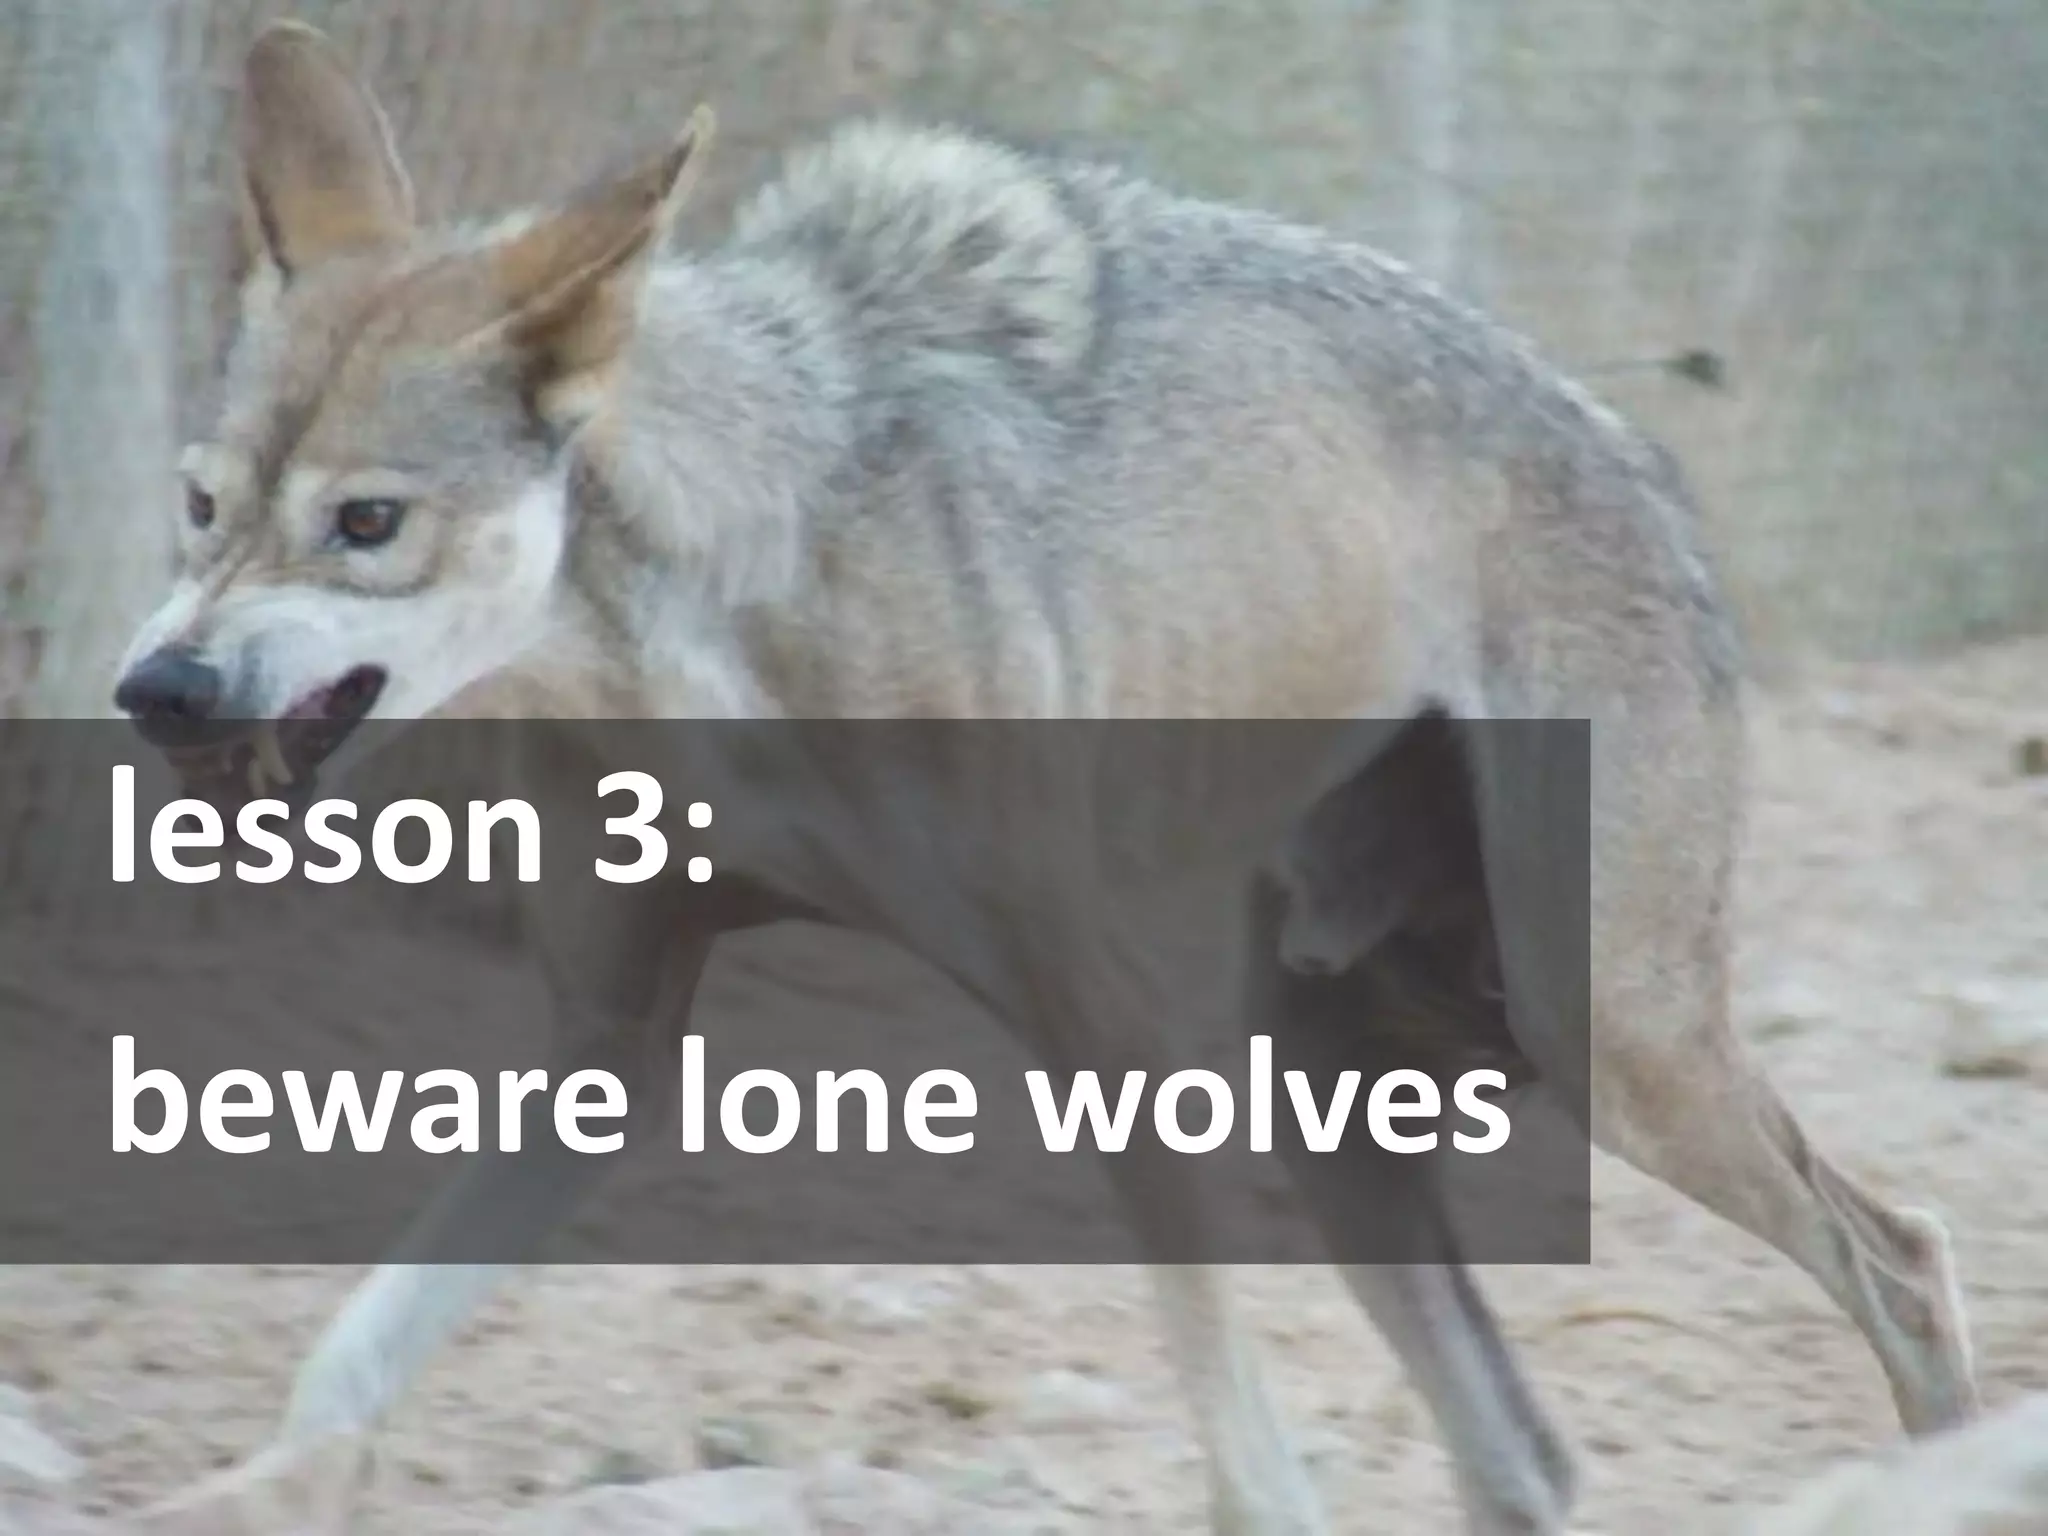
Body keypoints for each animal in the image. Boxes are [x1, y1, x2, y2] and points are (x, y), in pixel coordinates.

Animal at [111, 21, 1977, 1535]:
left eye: (367, 523)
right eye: (200, 505)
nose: (157, 687)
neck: (711, 637)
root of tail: (1646, 463)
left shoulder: (1103, 1019)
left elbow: (1246, 1454)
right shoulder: (610, 1047)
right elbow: (346, 1366)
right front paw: (259, 1489)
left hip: (1602, 1046)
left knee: (1902, 1259)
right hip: (1346, 1082)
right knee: (1526, 1451)